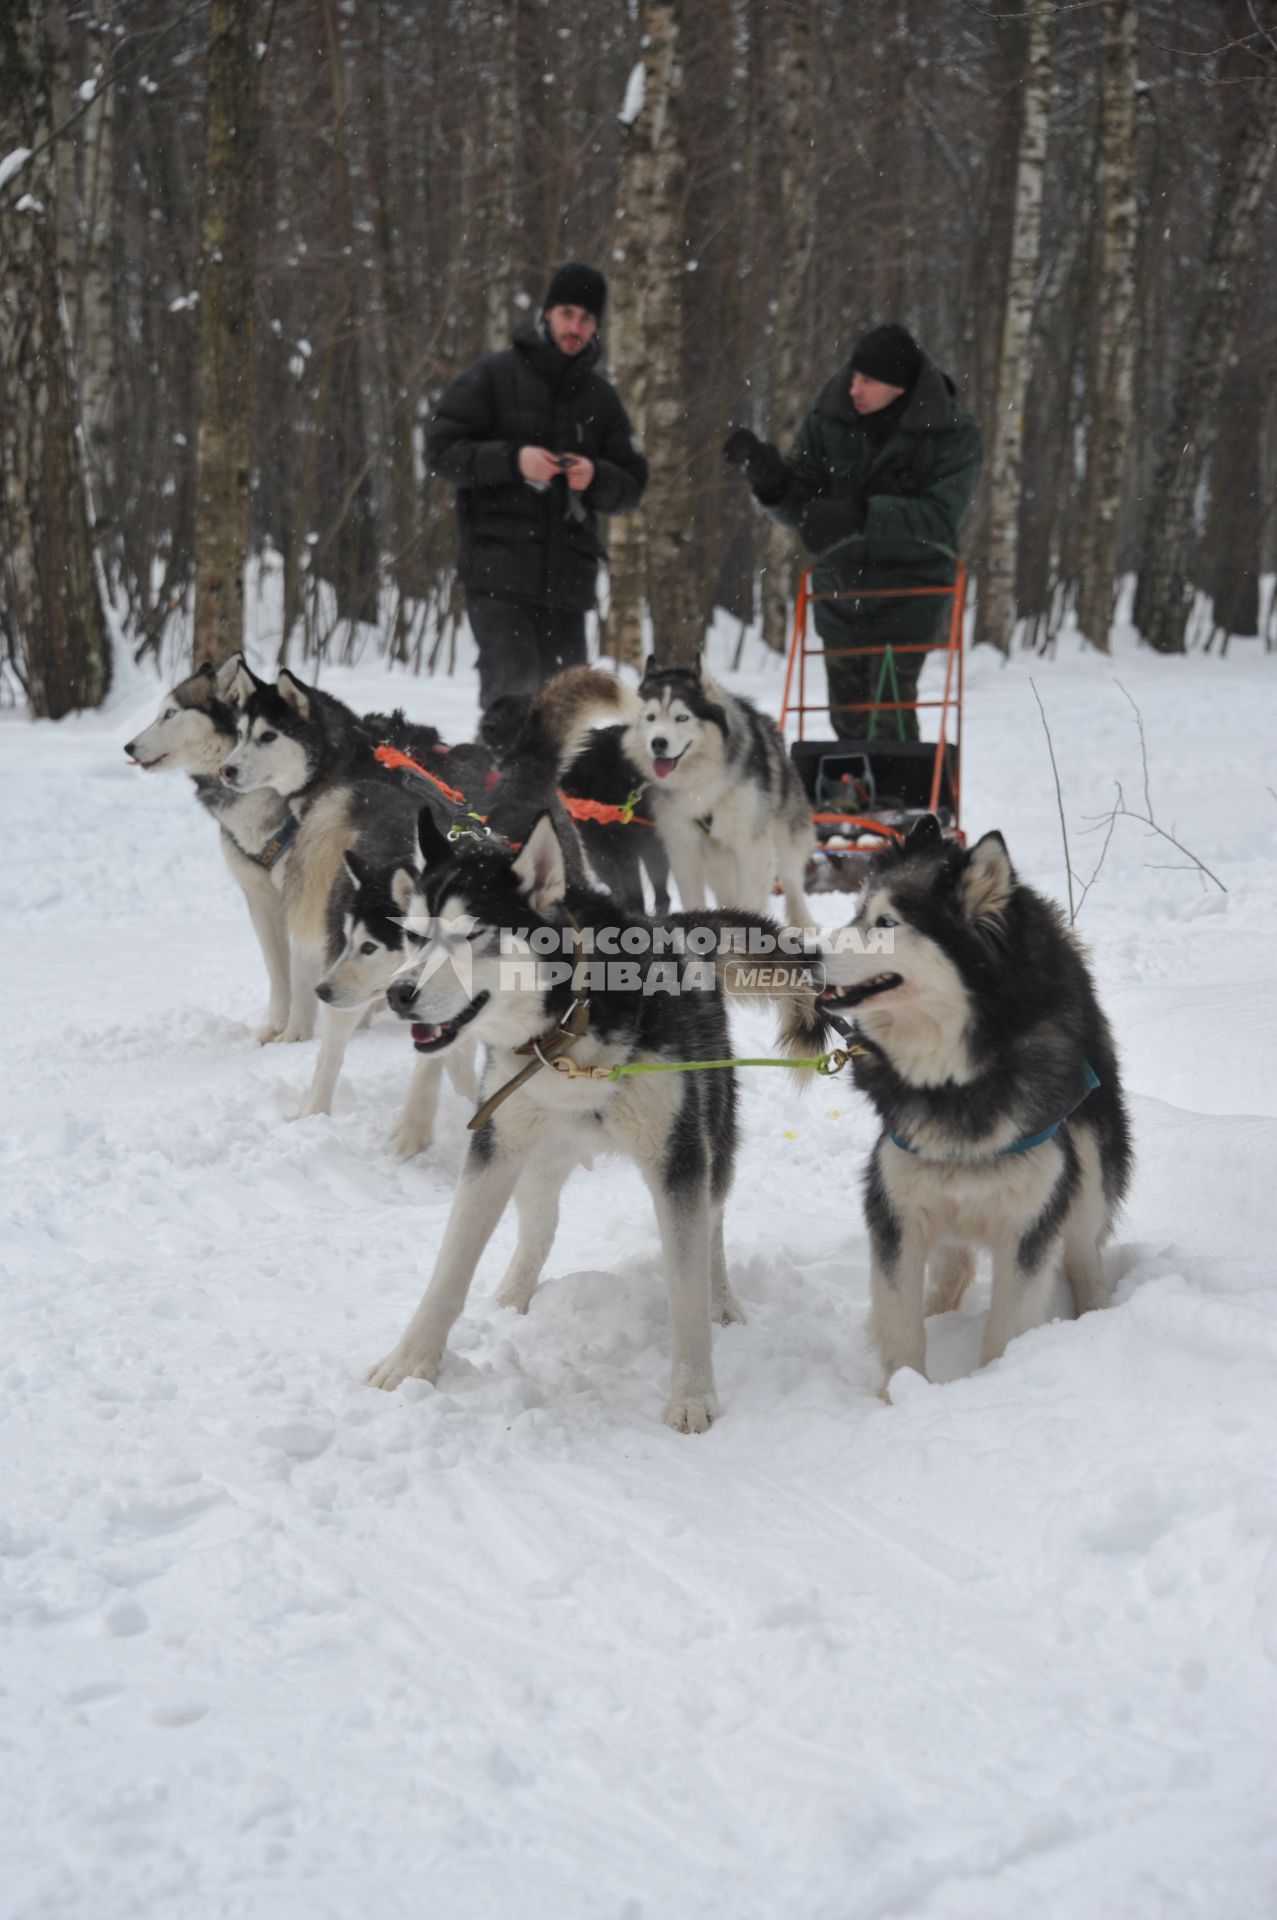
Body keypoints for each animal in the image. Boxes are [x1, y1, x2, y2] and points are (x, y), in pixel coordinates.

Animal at [362, 810, 818, 1428]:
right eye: (413, 937)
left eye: (468, 935)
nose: (397, 993)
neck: (570, 1030)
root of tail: (673, 924)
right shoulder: (492, 1149)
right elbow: (449, 1270)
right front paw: (409, 1363)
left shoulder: (679, 1162)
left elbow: (686, 1289)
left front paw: (692, 1396)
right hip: (532, 1160)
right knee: (540, 1227)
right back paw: (511, 1298)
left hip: (713, 1145)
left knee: (714, 1227)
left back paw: (723, 1299)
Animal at [622, 656, 810, 925]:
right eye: (650, 717)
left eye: (682, 718)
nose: (658, 743)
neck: (699, 782)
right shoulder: (683, 846)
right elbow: (693, 896)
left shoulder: (751, 843)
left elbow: (751, 896)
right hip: (716, 854)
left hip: (785, 833)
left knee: (792, 879)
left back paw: (804, 923)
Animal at [810, 814, 1129, 1397]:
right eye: (855, 913)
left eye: (885, 922)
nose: (801, 954)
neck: (956, 1078)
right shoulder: (896, 1200)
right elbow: (899, 1318)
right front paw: (901, 1394)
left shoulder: (1031, 1213)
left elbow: (1007, 1325)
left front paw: (992, 1384)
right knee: (952, 1265)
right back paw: (939, 1314)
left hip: (1090, 1157)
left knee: (1083, 1248)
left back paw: (1096, 1312)